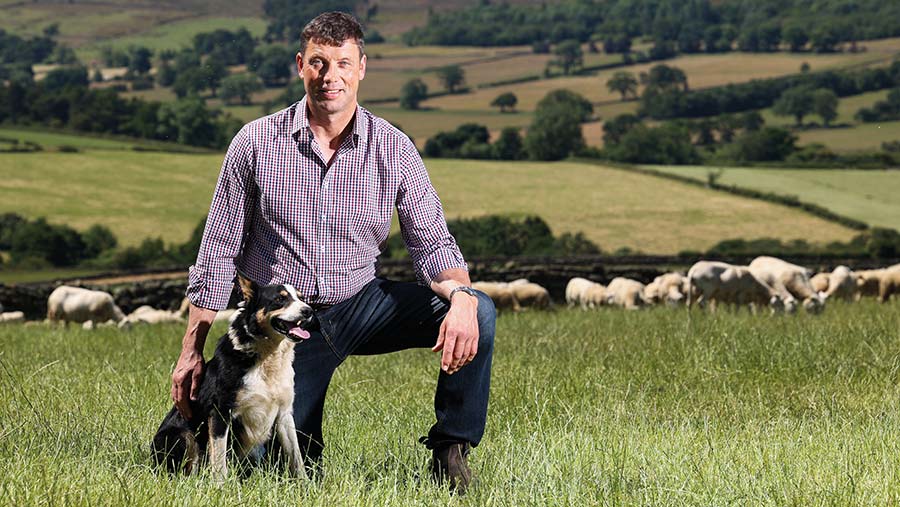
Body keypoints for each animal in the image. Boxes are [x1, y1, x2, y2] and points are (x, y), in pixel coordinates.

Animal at [156, 272, 320, 482]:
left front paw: (305, 483)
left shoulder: (284, 414)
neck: (268, 357)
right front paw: (220, 485)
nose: (309, 311)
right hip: (181, 435)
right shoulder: (220, 412)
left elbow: (296, 455)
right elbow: (219, 458)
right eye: (279, 299)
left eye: (301, 298)